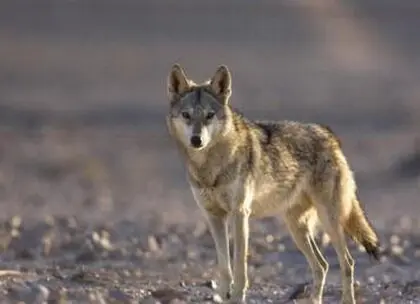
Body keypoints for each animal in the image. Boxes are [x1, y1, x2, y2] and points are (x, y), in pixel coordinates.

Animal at [165, 63, 380, 302]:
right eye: (186, 115)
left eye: (209, 116)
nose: (196, 140)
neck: (210, 167)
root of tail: (329, 136)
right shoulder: (213, 217)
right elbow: (224, 266)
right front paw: (224, 294)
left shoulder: (240, 214)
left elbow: (239, 266)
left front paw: (237, 297)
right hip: (296, 228)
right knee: (322, 265)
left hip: (329, 222)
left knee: (347, 262)